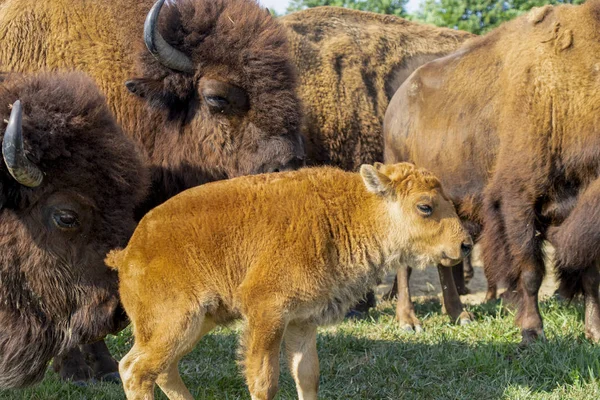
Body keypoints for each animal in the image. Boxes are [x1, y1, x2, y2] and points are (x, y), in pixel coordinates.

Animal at [109, 162, 474, 400]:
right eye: (425, 207)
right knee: (137, 370)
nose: (465, 244)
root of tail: (129, 252)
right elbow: (264, 380)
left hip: (195, 323)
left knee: (161, 369)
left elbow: (307, 375)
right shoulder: (267, 315)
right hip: (176, 322)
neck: (352, 212)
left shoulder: (303, 320)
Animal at [384, 0, 600, 344]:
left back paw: (460, 315)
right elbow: (531, 271)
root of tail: (395, 105)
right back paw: (408, 320)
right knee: (405, 263)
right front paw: (531, 331)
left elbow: (591, 274)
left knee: (445, 259)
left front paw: (594, 332)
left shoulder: (580, 214)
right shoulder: (518, 203)